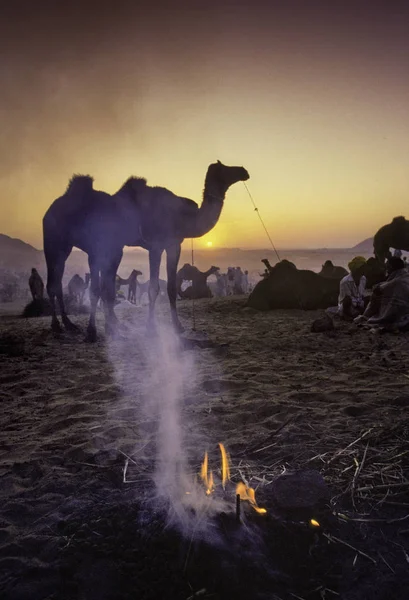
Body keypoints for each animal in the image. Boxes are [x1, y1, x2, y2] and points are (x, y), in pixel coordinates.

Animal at [44, 162, 249, 340]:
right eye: (223, 168)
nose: (244, 171)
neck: (182, 217)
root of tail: (51, 208)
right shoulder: (156, 245)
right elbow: (153, 287)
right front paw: (151, 328)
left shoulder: (174, 244)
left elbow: (170, 287)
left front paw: (177, 326)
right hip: (55, 243)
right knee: (56, 283)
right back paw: (62, 325)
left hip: (93, 248)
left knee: (93, 285)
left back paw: (78, 324)